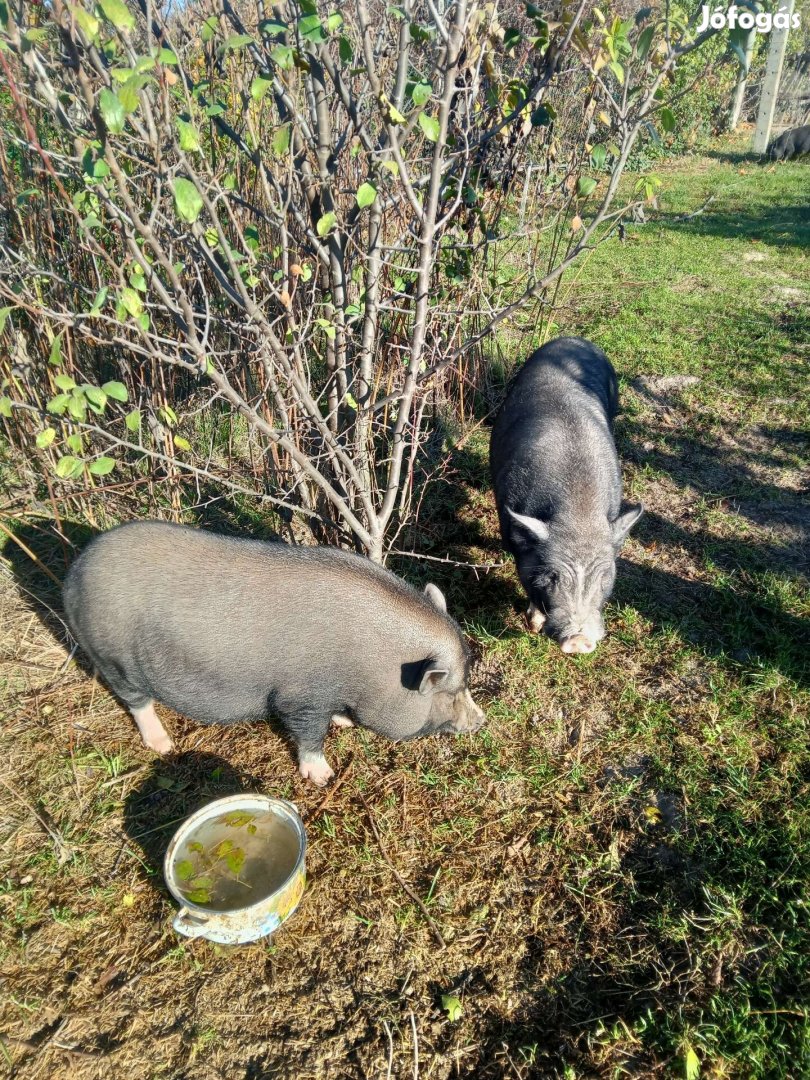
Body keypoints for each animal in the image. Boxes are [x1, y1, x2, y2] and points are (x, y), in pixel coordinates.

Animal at [63, 522, 486, 786]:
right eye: (450, 692)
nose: (481, 720)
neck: (371, 667)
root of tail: (74, 573)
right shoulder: (300, 697)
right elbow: (309, 734)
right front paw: (323, 776)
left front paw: (345, 724)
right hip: (113, 658)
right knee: (136, 700)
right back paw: (164, 745)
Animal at [492, 336, 643, 652]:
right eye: (552, 576)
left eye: (604, 577)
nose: (578, 639)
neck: (578, 511)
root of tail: (574, 338)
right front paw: (533, 625)